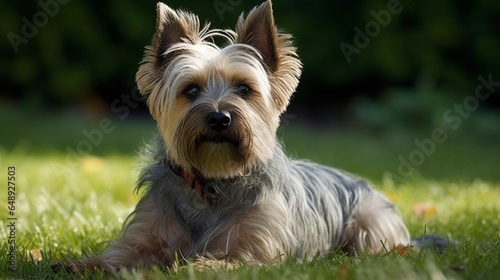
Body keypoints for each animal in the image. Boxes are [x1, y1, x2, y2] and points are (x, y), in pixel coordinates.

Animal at [58, 0, 412, 276]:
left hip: (371, 222)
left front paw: (193, 265)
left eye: (244, 88)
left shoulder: (257, 249)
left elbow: (233, 260)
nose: (219, 117)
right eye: (191, 90)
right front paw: (81, 264)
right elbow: (124, 254)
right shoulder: (147, 233)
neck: (214, 179)